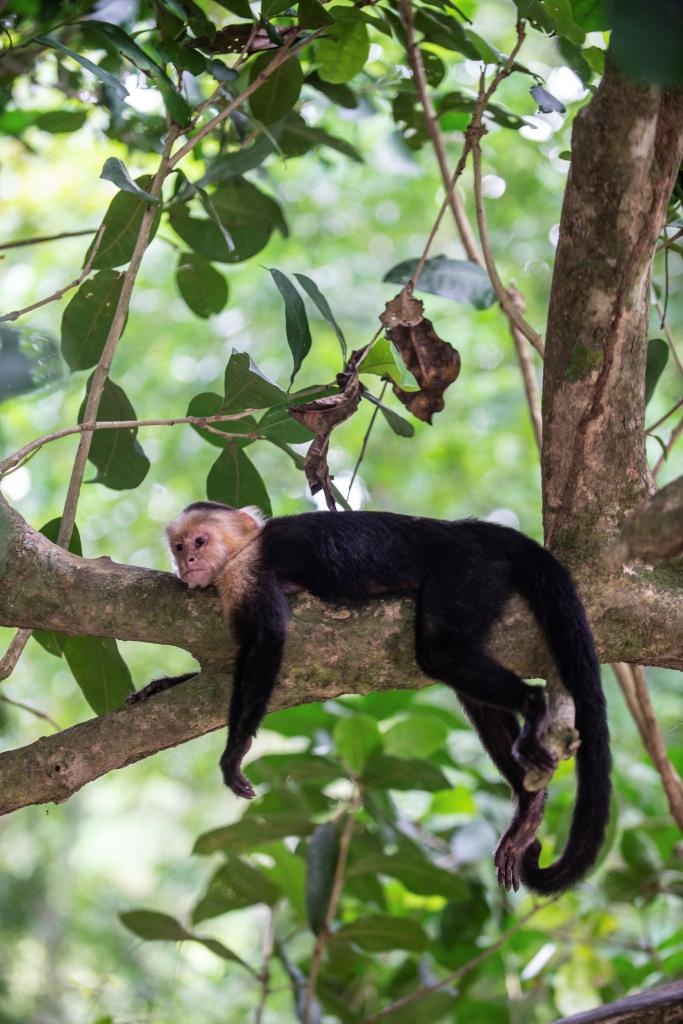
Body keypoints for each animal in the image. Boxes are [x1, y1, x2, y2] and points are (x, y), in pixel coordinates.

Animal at [126, 503, 610, 897]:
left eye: (201, 541)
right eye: (178, 545)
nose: (187, 560)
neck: (245, 550)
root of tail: (467, 529)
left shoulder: (250, 572)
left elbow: (267, 643)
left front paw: (235, 750)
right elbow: (230, 672)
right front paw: (162, 686)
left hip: (471, 567)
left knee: (438, 649)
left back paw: (534, 705)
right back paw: (529, 807)